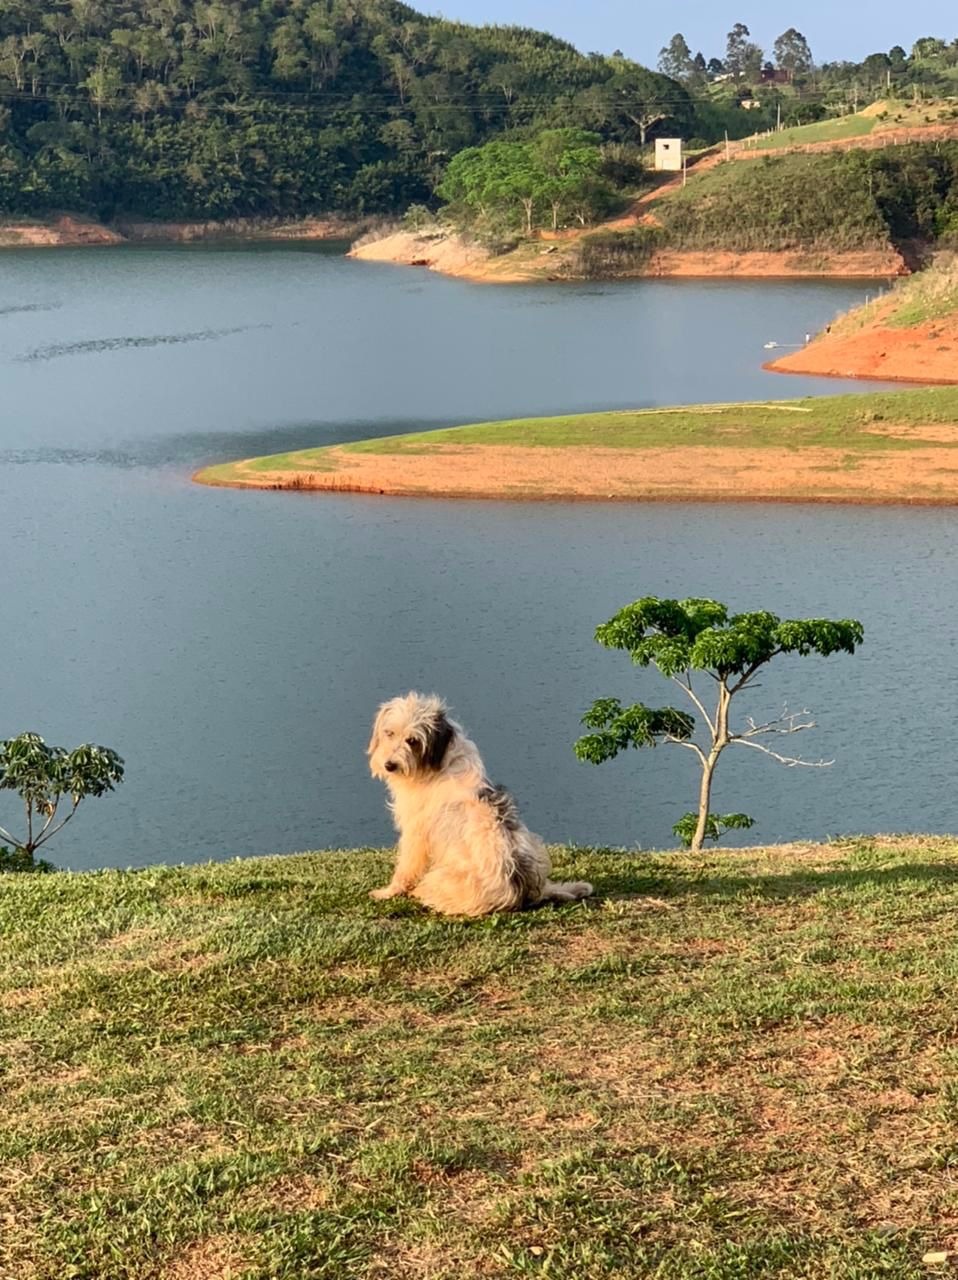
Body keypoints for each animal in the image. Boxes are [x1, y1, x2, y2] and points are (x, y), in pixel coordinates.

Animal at [366, 696, 591, 916]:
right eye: (389, 733)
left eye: (412, 740)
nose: (389, 765)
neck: (439, 761)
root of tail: (519, 891)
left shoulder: (415, 834)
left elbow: (406, 868)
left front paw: (388, 892)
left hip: (440, 878)